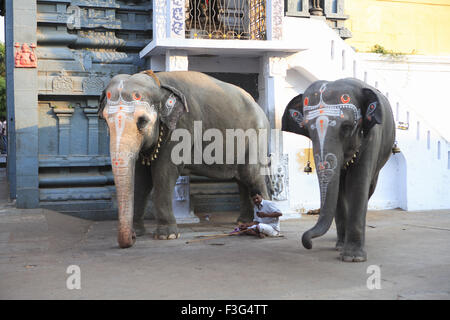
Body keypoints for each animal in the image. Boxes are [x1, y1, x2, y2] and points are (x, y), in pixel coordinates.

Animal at [99, 70, 270, 249]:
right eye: (105, 121)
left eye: (142, 121)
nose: (131, 238)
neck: (158, 83)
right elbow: (141, 178)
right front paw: (138, 232)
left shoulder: (182, 126)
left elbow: (164, 172)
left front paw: (166, 236)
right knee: (241, 178)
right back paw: (244, 222)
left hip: (257, 136)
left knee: (252, 175)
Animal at [284, 78, 396, 262]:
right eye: (307, 129)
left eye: (346, 127)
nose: (309, 244)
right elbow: (337, 191)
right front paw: (342, 249)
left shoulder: (372, 137)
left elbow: (358, 183)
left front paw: (353, 258)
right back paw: (340, 244)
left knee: (369, 188)